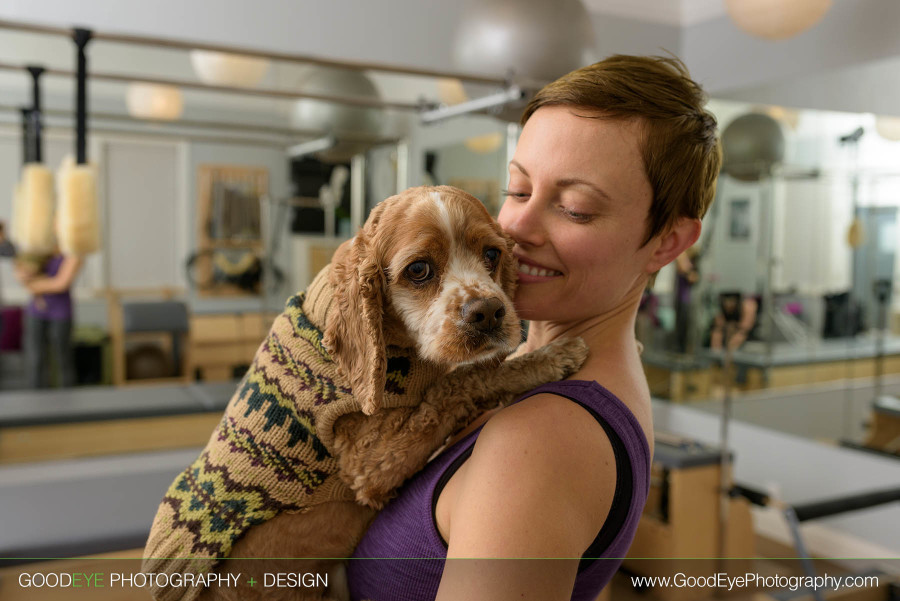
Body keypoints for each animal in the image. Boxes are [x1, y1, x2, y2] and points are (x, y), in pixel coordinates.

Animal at [143, 185, 588, 596]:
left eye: (492, 255)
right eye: (419, 270)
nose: (490, 313)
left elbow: (458, 380)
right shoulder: (371, 465)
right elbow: (459, 382)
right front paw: (552, 356)